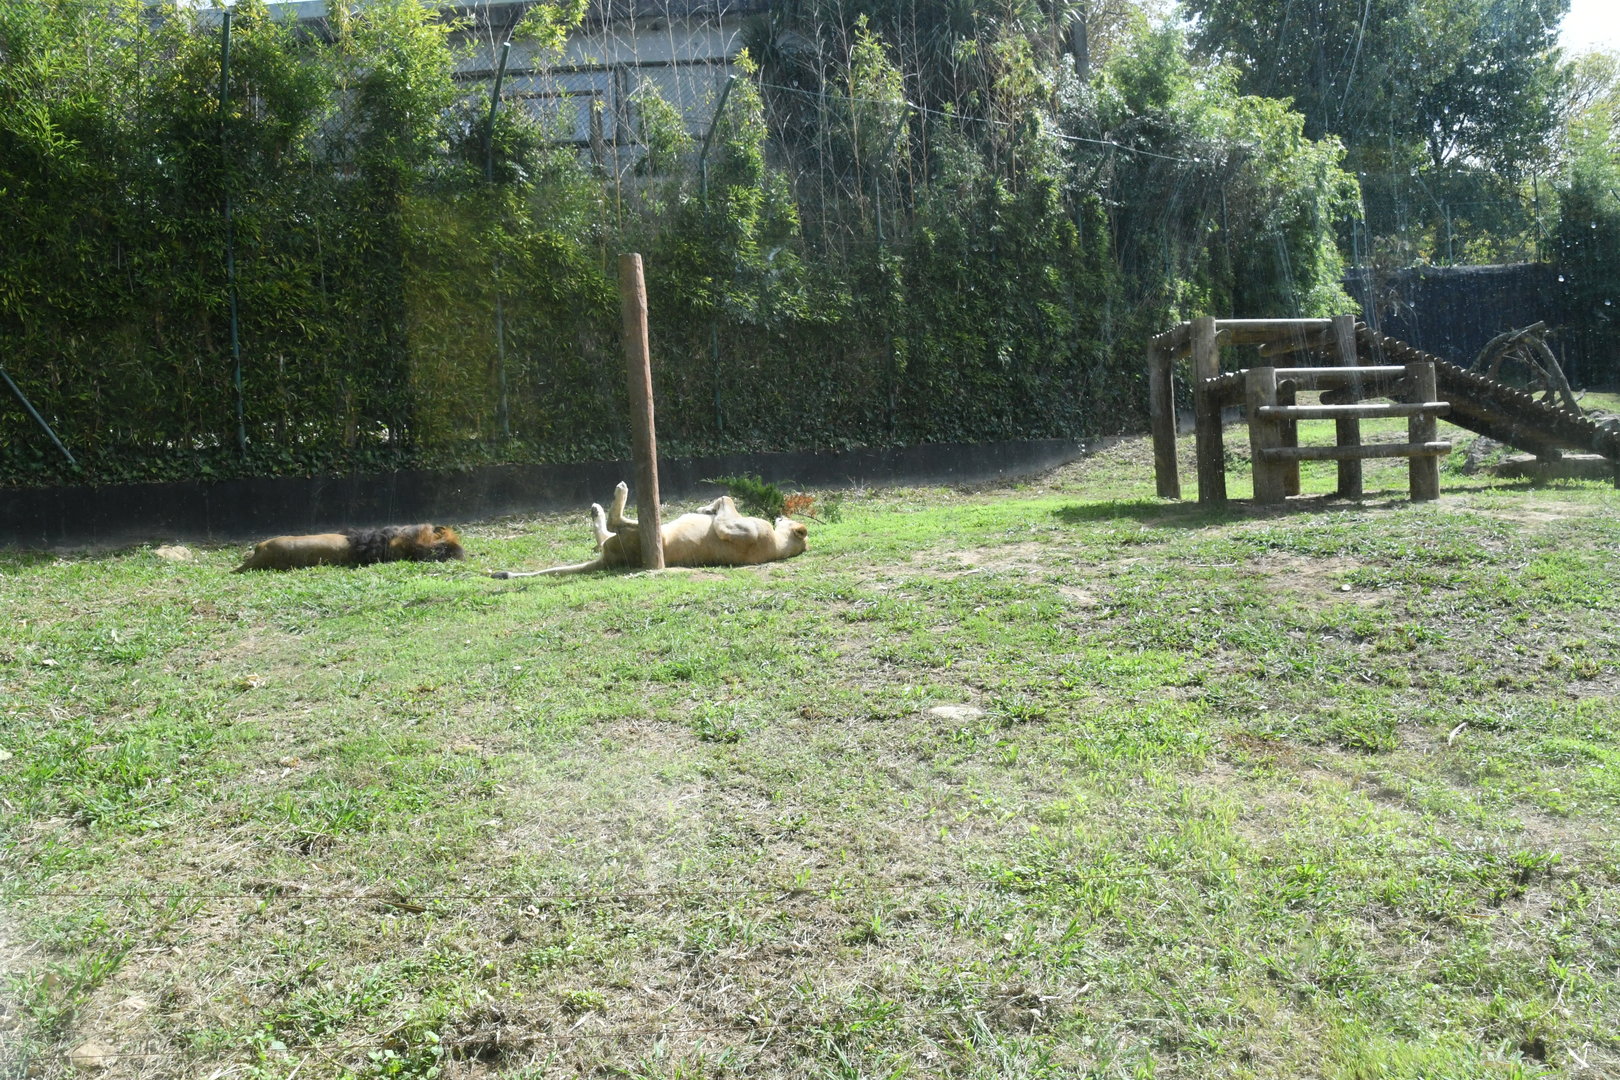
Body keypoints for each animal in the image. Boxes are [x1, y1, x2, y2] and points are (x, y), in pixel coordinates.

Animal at [490, 482, 807, 578]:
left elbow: (727, 501)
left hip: (653, 533)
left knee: (616, 524)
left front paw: (709, 507)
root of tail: (609, 560)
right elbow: (725, 498)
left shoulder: (735, 529)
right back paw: (596, 509)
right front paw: (705, 508)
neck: (778, 544)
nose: (779, 515)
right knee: (604, 533)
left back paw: (618, 493)